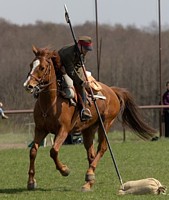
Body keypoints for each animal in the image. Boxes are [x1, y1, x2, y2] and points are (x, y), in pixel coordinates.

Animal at [23, 46, 156, 191]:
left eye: (42, 67)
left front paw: (64, 170)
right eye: (30, 65)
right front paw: (31, 181)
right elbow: (33, 151)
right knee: (91, 154)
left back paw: (89, 175)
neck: (51, 101)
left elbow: (53, 151)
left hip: (106, 124)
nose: (28, 86)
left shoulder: (63, 130)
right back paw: (89, 181)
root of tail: (112, 91)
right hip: (88, 129)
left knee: (101, 149)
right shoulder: (40, 130)